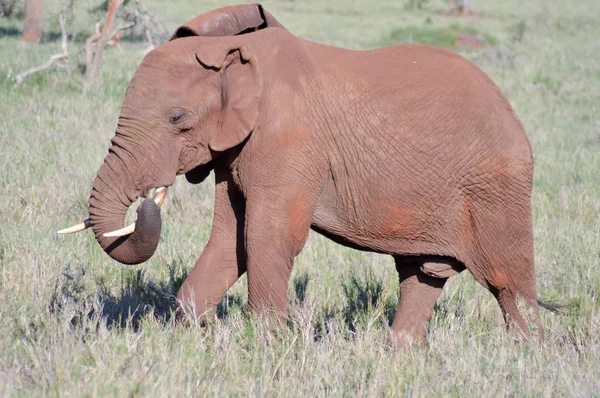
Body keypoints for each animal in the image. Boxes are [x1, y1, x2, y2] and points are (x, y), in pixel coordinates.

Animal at [59, 3, 544, 346]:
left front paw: (265, 346)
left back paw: (528, 355)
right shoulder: (238, 150)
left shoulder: (288, 139)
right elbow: (231, 240)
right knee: (422, 275)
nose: (146, 201)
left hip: (497, 189)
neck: (234, 55)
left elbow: (265, 237)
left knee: (509, 283)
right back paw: (398, 356)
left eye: (177, 118)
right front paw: (188, 338)